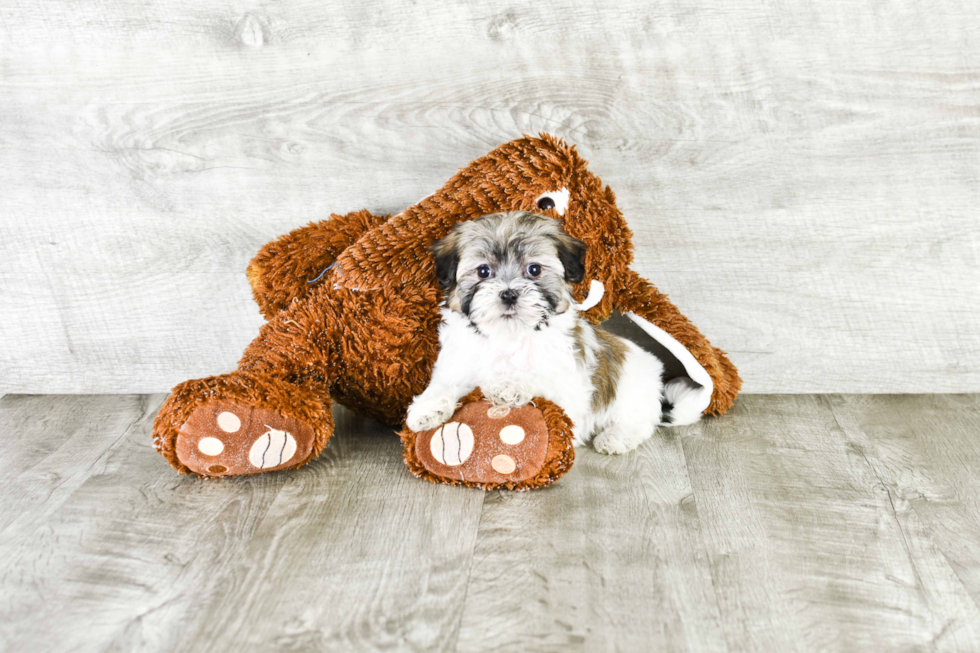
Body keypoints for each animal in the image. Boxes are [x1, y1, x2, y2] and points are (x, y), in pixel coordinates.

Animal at [402, 210, 692, 454]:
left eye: (534, 270)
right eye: (483, 271)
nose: (509, 294)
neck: (508, 336)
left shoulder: (567, 384)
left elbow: (539, 378)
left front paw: (508, 386)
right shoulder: (458, 363)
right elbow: (446, 384)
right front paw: (427, 409)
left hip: (632, 392)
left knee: (638, 421)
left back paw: (615, 437)